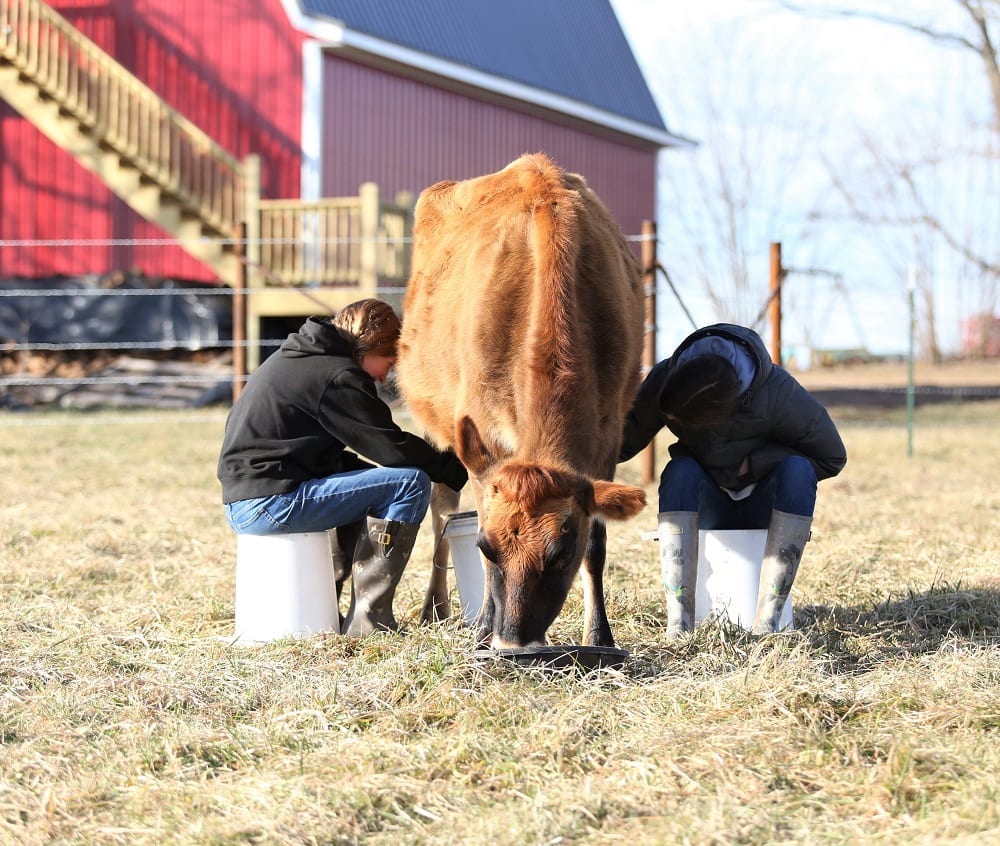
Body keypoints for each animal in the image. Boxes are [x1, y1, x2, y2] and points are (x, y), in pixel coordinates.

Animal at [398, 154, 648, 648]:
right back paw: (435, 607)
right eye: (487, 547)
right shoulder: (482, 439)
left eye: (560, 551)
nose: (512, 639)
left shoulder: (608, 435)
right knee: (441, 510)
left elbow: (597, 546)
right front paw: (481, 630)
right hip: (437, 430)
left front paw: (600, 635)